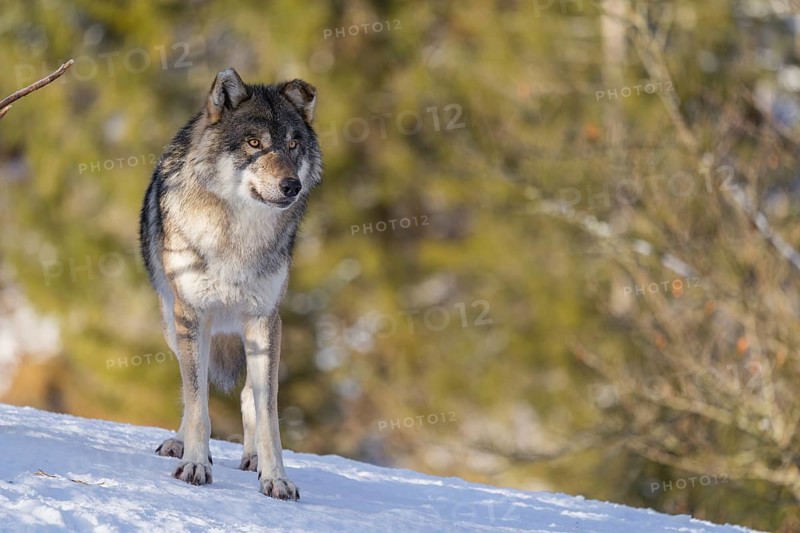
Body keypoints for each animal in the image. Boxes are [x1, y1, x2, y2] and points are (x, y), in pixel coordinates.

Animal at [139, 67, 321, 500]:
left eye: (293, 144)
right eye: (255, 143)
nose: (291, 186)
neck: (237, 237)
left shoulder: (265, 320)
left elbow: (268, 412)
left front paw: (276, 478)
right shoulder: (192, 314)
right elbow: (198, 403)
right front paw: (194, 463)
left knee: (249, 395)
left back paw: (252, 459)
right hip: (174, 323)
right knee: (194, 391)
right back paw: (180, 443)